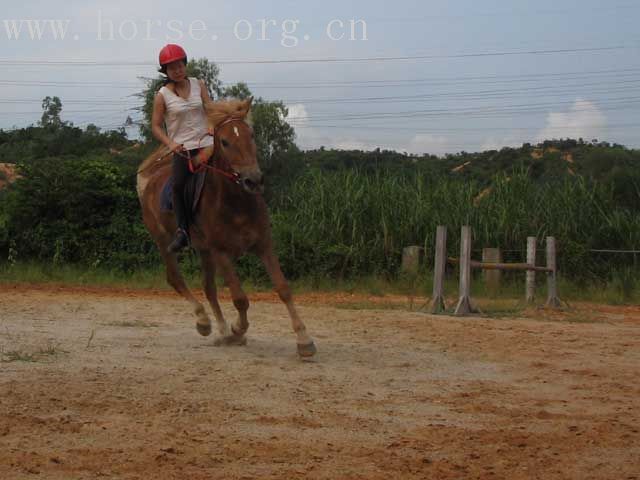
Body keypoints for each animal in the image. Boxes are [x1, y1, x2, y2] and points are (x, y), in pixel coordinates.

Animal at [136, 97, 316, 358]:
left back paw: (221, 331)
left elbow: (283, 288)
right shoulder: (221, 252)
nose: (253, 180)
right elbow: (240, 298)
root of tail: (150, 179)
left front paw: (304, 340)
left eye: (251, 135)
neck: (236, 202)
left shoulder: (263, 245)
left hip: (204, 250)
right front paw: (238, 329)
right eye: (224, 141)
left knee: (208, 288)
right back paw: (204, 322)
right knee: (175, 279)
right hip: (165, 241)